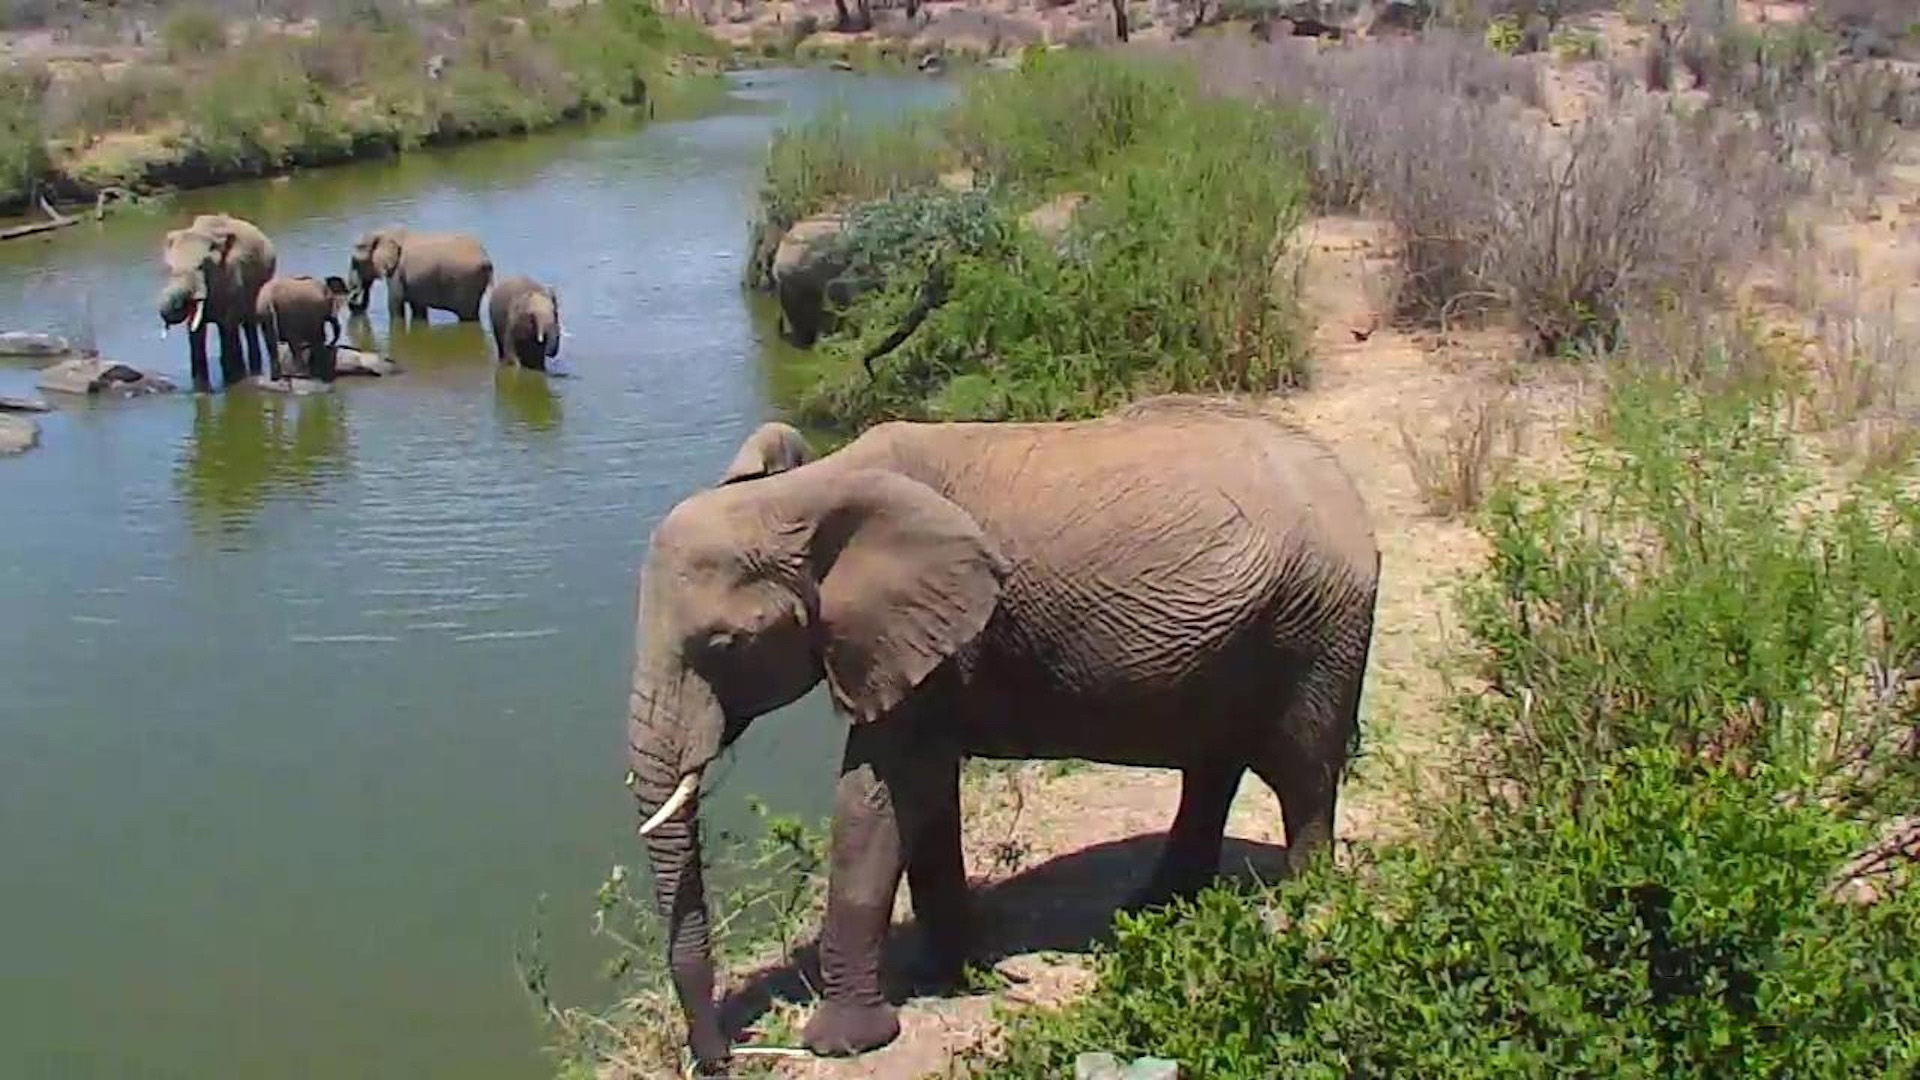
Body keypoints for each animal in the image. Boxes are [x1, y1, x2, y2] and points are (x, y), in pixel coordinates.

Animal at [155, 212, 278, 393]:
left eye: (201, 266)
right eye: (169, 269)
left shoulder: (231, 278)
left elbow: (227, 326)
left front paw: (233, 382)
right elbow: (196, 332)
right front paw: (201, 391)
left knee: (248, 323)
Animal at [345, 225, 495, 322]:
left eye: (355, 262)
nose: (353, 294)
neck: (383, 233)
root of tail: (486, 259)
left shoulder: (397, 272)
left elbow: (395, 304)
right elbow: (418, 309)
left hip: (465, 281)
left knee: (467, 316)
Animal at [625, 395, 1382, 1068]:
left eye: (725, 644)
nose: (726, 1055)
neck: (805, 495)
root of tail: (1347, 485)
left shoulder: (935, 638)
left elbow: (880, 798)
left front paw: (843, 1042)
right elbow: (922, 797)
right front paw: (945, 975)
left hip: (1318, 622)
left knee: (1302, 774)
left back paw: (1305, 909)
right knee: (1214, 765)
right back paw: (1157, 906)